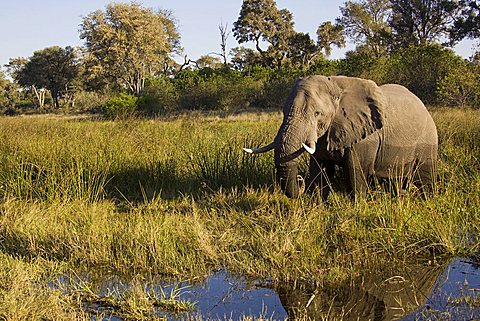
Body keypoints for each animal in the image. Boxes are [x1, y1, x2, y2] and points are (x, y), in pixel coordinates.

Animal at [246, 76, 436, 199]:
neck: (335, 86)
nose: (300, 181)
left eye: (317, 114)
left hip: (428, 139)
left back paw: (428, 200)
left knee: (425, 175)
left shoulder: (365, 137)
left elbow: (356, 171)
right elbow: (320, 171)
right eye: (284, 112)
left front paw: (358, 206)